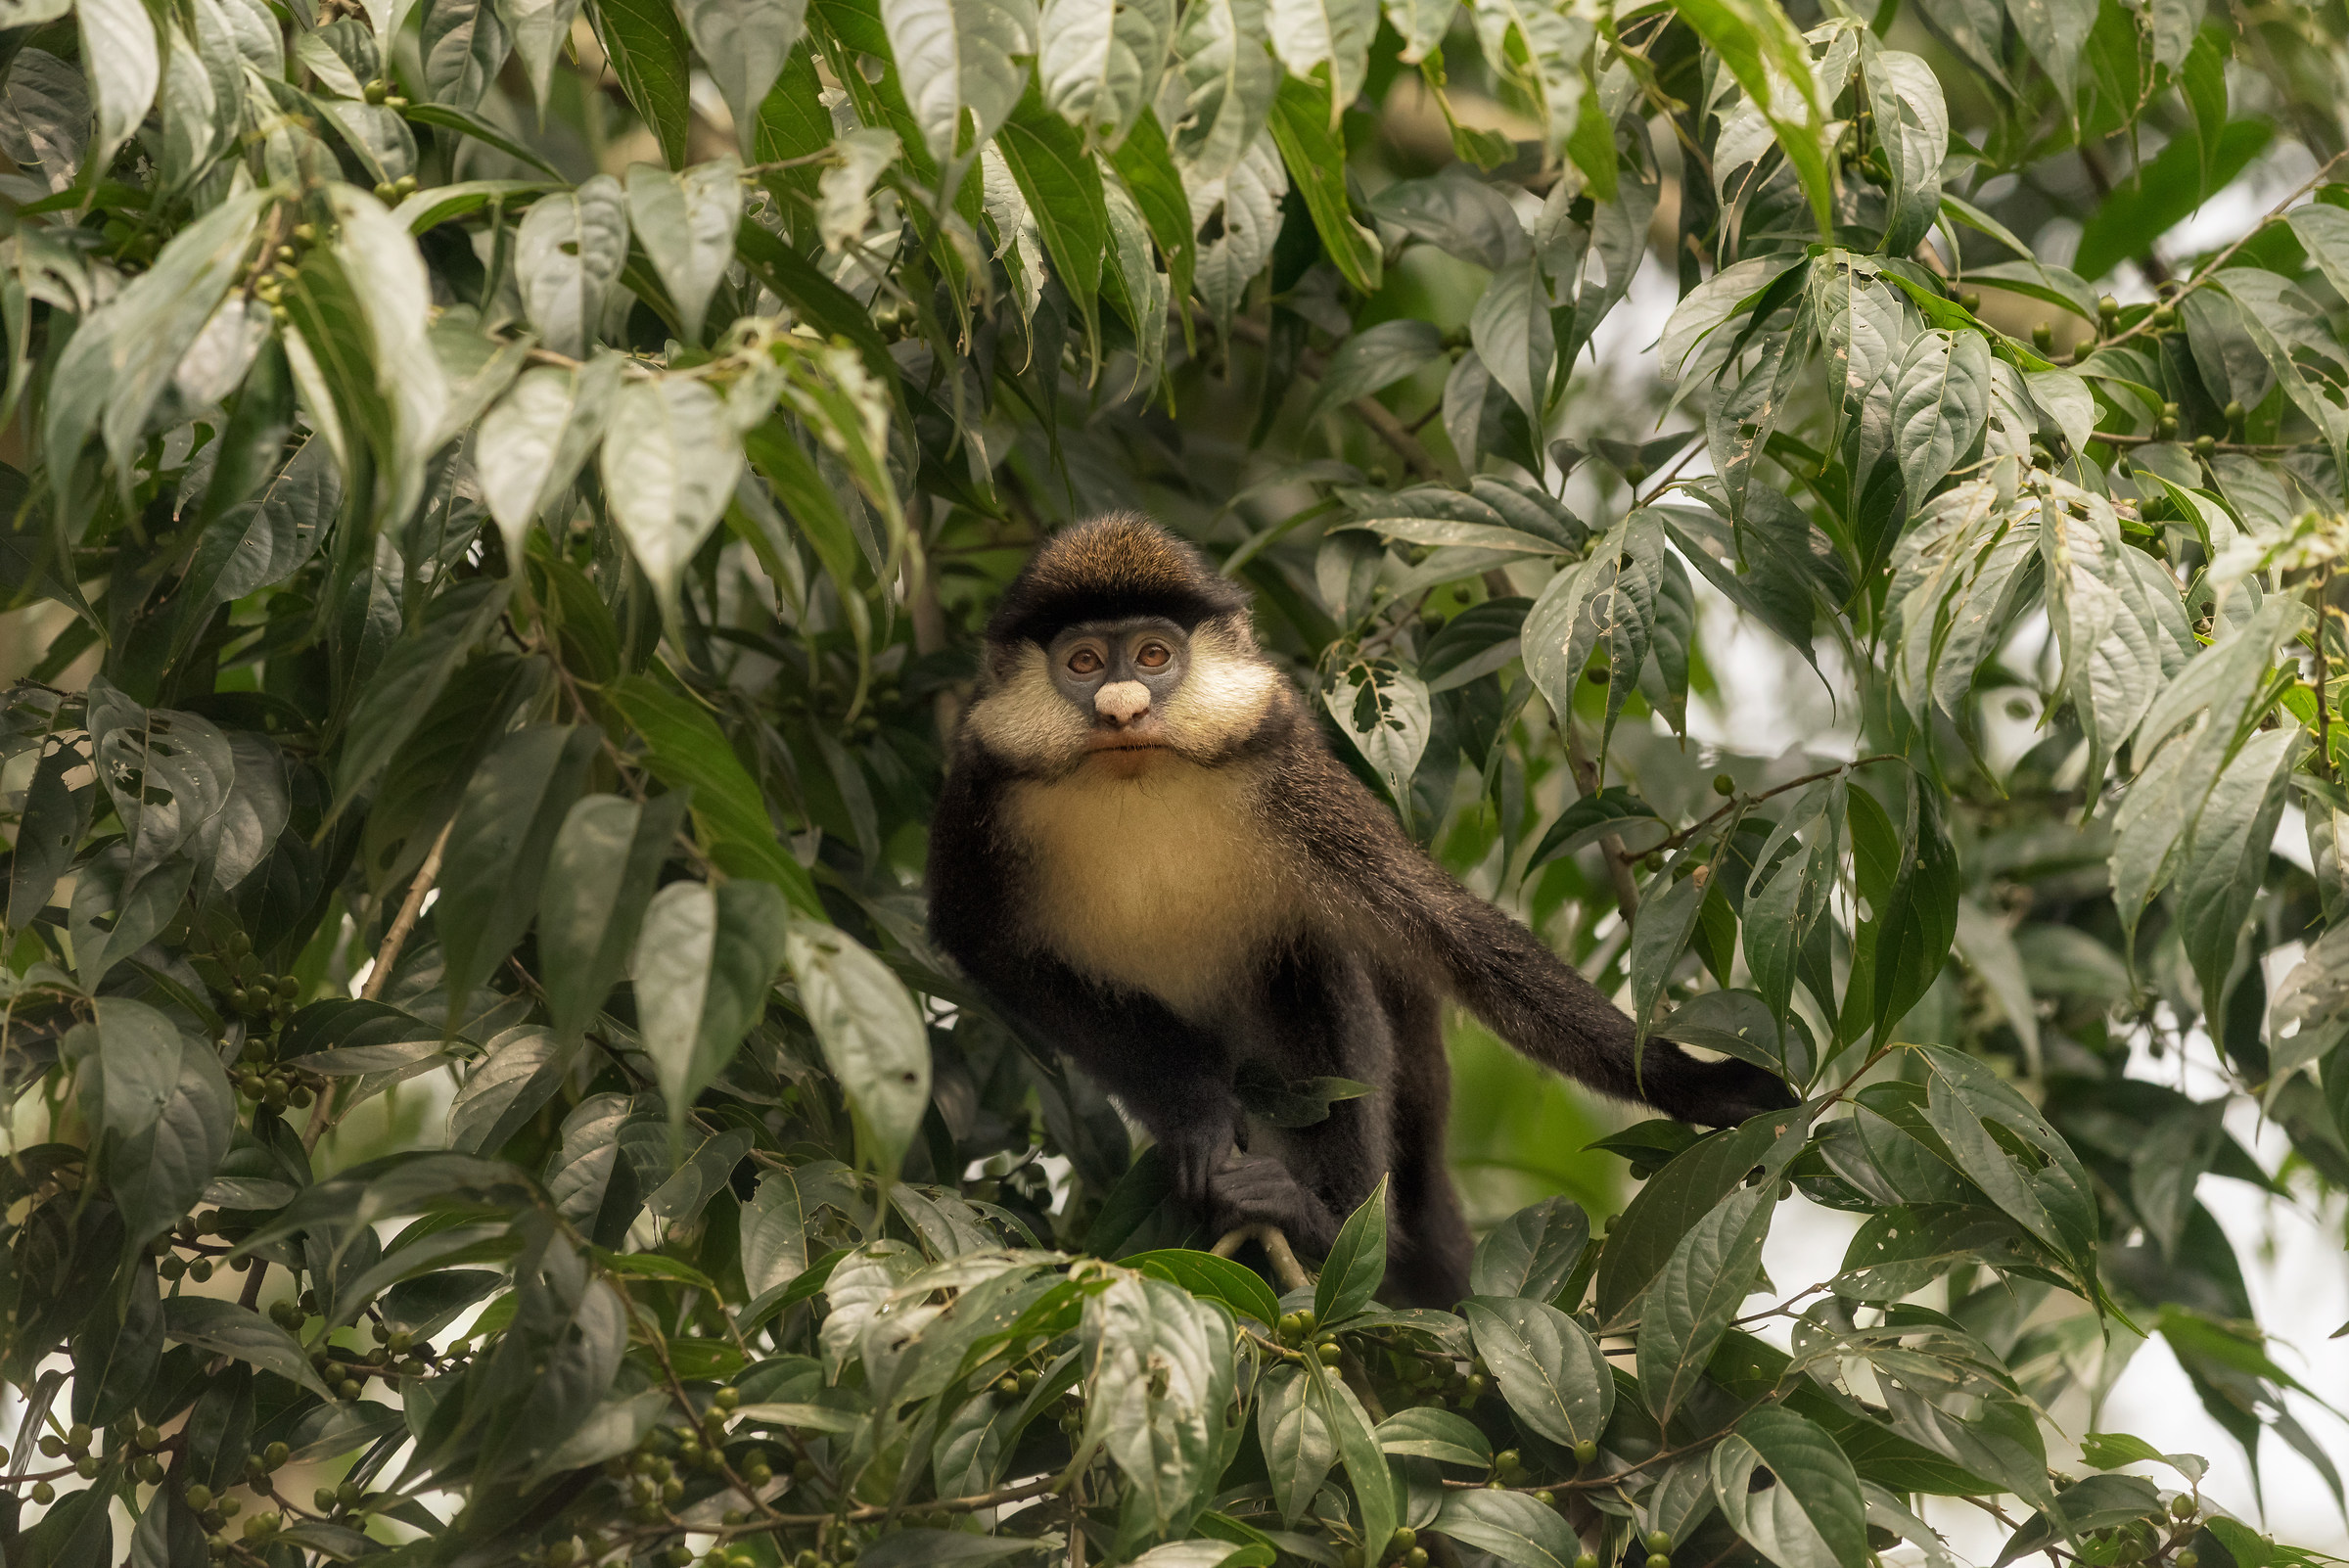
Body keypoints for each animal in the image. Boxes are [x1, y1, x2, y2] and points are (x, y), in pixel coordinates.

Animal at [925, 513, 1793, 1307]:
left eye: (1152, 656)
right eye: (1082, 662)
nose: (1121, 708)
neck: (1137, 782)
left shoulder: (1286, 766)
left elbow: (1446, 930)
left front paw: (1698, 1087)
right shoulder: (978, 785)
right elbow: (988, 947)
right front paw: (1196, 1113)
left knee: (1313, 965)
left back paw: (1318, 1221)